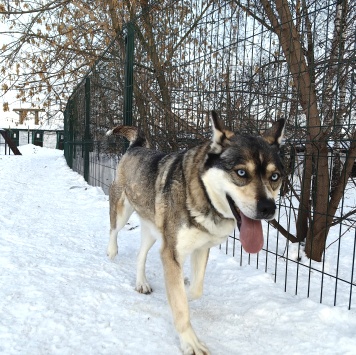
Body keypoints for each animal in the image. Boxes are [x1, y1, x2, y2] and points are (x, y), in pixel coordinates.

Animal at [107, 112, 286, 355]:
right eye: (241, 173)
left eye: (274, 176)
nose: (268, 208)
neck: (203, 195)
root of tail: (136, 147)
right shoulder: (171, 251)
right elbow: (181, 306)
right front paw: (190, 342)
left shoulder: (200, 248)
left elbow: (194, 291)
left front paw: (185, 286)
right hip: (123, 211)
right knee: (113, 230)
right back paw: (111, 251)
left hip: (154, 232)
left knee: (140, 254)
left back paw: (141, 283)